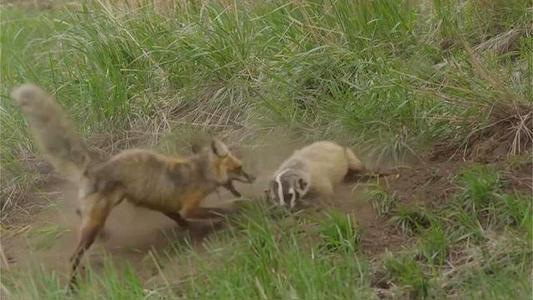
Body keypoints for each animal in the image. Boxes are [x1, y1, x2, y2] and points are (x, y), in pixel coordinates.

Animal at [11, 84, 255, 288]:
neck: (200, 171)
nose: (252, 178)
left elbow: (180, 218)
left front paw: (193, 229)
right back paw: (71, 285)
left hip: (104, 210)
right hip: (96, 220)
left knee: (81, 214)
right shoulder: (190, 205)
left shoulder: (162, 203)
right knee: (74, 256)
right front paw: (228, 215)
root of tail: (94, 167)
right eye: (239, 168)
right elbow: (215, 211)